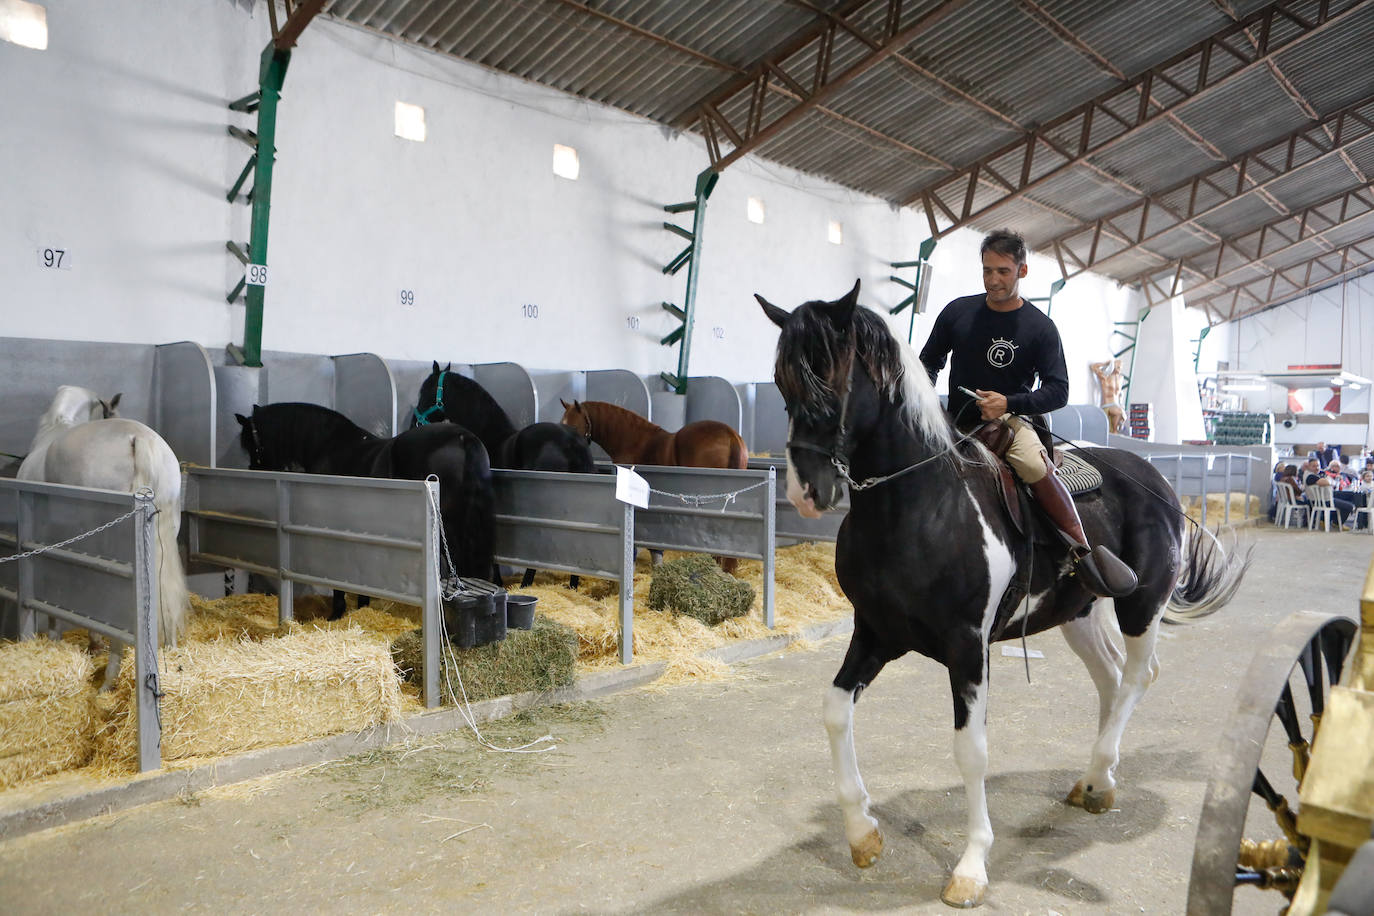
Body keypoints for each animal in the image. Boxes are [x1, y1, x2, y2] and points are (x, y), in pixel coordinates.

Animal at [236, 403, 496, 610]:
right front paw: (362, 604)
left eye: (252, 444)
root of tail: (463, 437)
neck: (329, 447)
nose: (252, 473)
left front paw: (338, 610)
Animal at [412, 362, 596, 588]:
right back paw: (572, 585)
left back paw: (527, 583)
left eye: (425, 391)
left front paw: (497, 581)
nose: (413, 422)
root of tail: (572, 441)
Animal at [755, 282, 1245, 908]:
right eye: (782, 382)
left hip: (1141, 606)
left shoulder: (968, 648)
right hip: (1077, 615)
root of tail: (1154, 477)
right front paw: (863, 835)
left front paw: (970, 869)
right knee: (1111, 679)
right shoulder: (875, 633)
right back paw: (1095, 782)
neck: (917, 505)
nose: (806, 491)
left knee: (1139, 675)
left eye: (832, 378)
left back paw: (1100, 775)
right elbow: (835, 712)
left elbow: (971, 751)